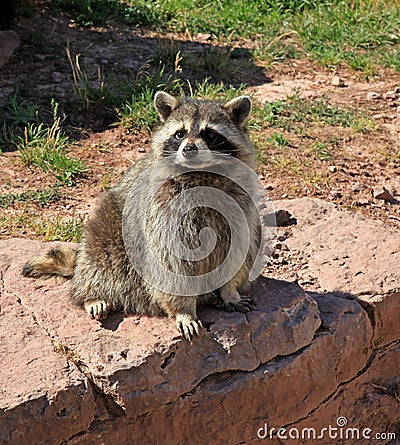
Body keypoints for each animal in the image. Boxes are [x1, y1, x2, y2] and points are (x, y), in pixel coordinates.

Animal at [24, 91, 262, 340]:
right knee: (99, 256)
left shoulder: (241, 205)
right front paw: (184, 310)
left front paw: (229, 291)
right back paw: (93, 294)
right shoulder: (162, 212)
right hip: (107, 231)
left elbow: (237, 250)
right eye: (180, 133)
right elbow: (171, 263)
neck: (201, 172)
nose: (189, 149)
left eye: (210, 134)